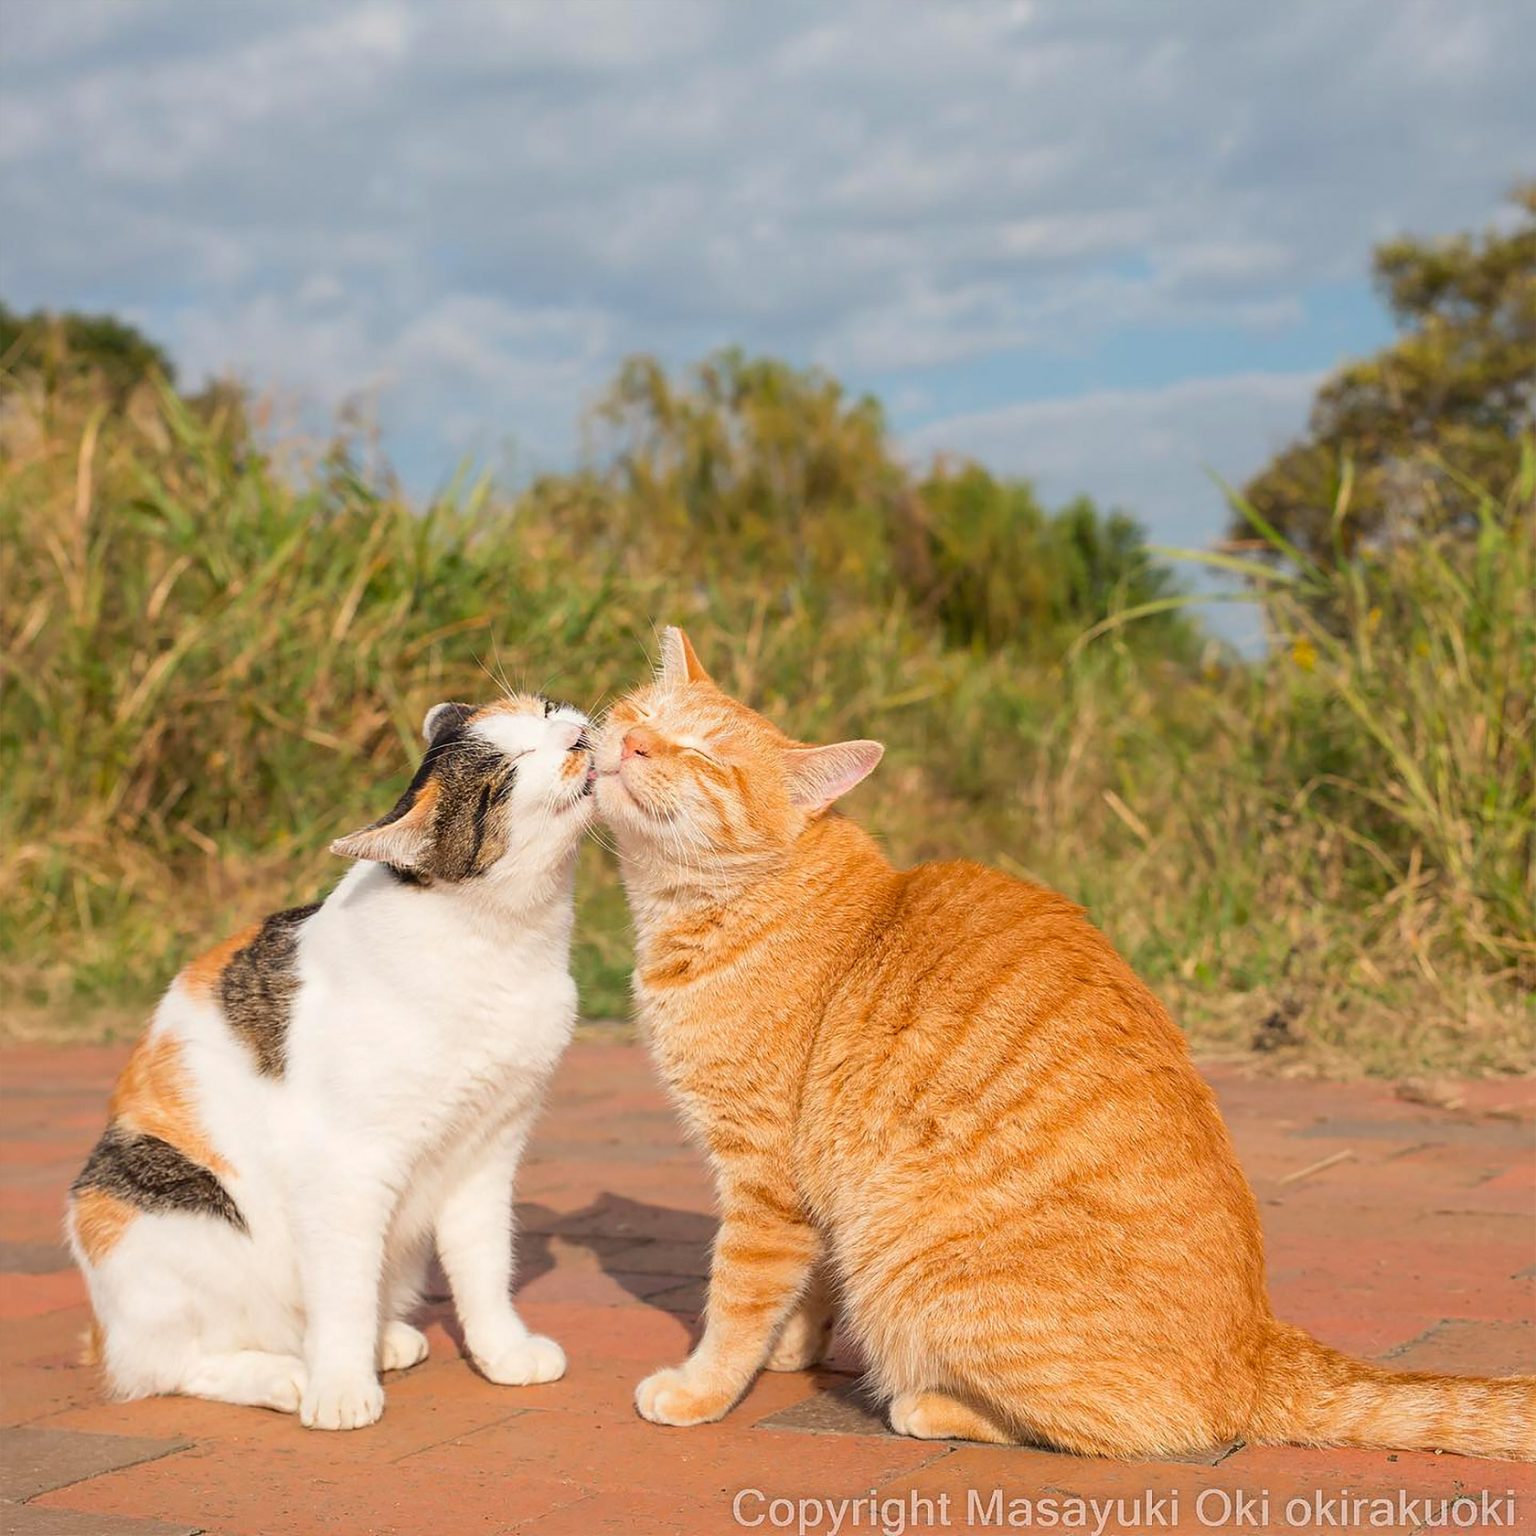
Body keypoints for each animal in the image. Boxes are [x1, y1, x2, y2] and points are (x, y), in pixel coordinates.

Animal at [69, 694, 592, 1425]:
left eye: (545, 710)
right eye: (509, 770)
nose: (576, 734)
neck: (503, 947)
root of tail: (99, 1327)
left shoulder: (487, 1151)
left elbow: (485, 1268)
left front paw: (504, 1354)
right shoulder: (347, 1164)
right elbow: (342, 1291)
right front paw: (341, 1391)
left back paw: (384, 1341)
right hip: (159, 1205)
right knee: (166, 1366)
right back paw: (289, 1376)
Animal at [592, 626, 1536, 1462]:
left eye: (702, 755)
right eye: (638, 709)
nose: (628, 741)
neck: (722, 901)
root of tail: (1258, 1346)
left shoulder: (763, 1174)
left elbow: (735, 1300)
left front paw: (703, 1388)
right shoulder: (806, 1187)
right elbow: (806, 1284)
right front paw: (796, 1348)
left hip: (911, 1271)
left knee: (1116, 1430)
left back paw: (927, 1405)